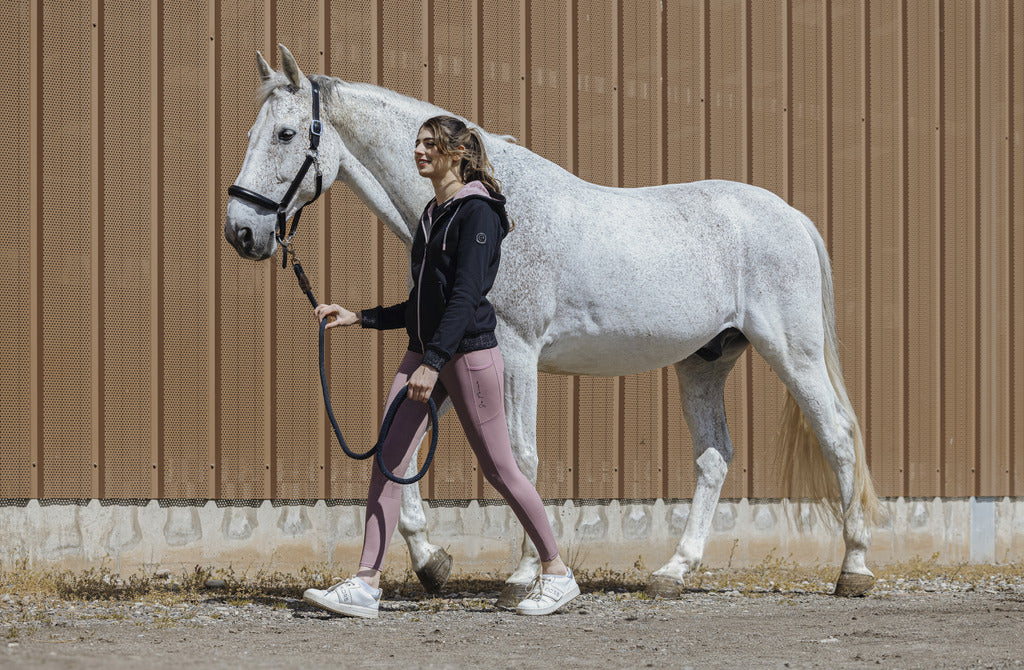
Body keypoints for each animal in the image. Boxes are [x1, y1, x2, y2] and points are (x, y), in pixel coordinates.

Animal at [224, 47, 880, 602]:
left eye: (285, 134)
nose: (241, 231)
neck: (490, 204)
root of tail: (792, 215)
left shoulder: (514, 353)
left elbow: (519, 456)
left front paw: (523, 576)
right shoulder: (447, 352)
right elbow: (402, 450)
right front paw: (431, 560)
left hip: (792, 352)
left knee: (839, 437)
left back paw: (854, 569)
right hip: (705, 361)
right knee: (715, 456)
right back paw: (674, 571)